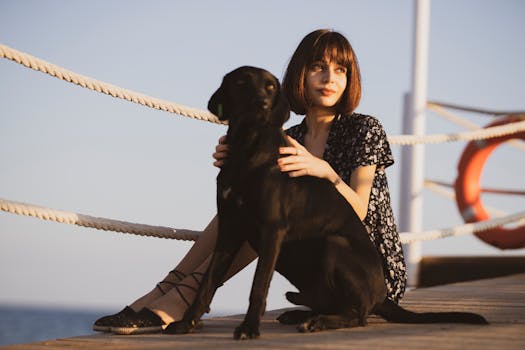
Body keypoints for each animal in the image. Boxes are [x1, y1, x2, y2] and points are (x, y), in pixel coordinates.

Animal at [165, 65, 488, 340]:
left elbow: (258, 285)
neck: (248, 148)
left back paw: (318, 321)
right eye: (241, 82)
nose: (262, 104)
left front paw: (248, 328)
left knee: (358, 315)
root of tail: (382, 295)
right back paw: (301, 314)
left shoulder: (271, 229)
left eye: (270, 86)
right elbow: (207, 281)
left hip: (334, 245)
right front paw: (186, 323)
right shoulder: (231, 228)